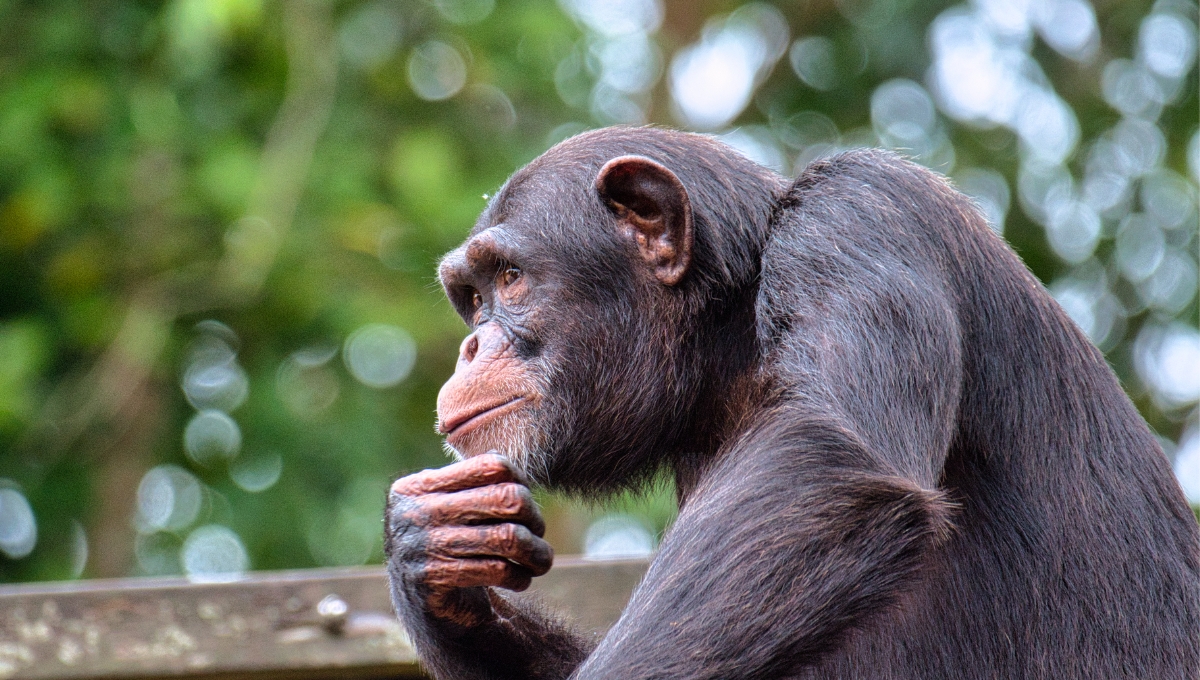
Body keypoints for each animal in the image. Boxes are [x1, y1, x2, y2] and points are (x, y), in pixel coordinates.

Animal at [384, 128, 1200, 680]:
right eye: (470, 298)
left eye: (511, 278)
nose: (472, 346)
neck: (733, 328)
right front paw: (429, 549)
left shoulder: (861, 216)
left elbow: (825, 465)